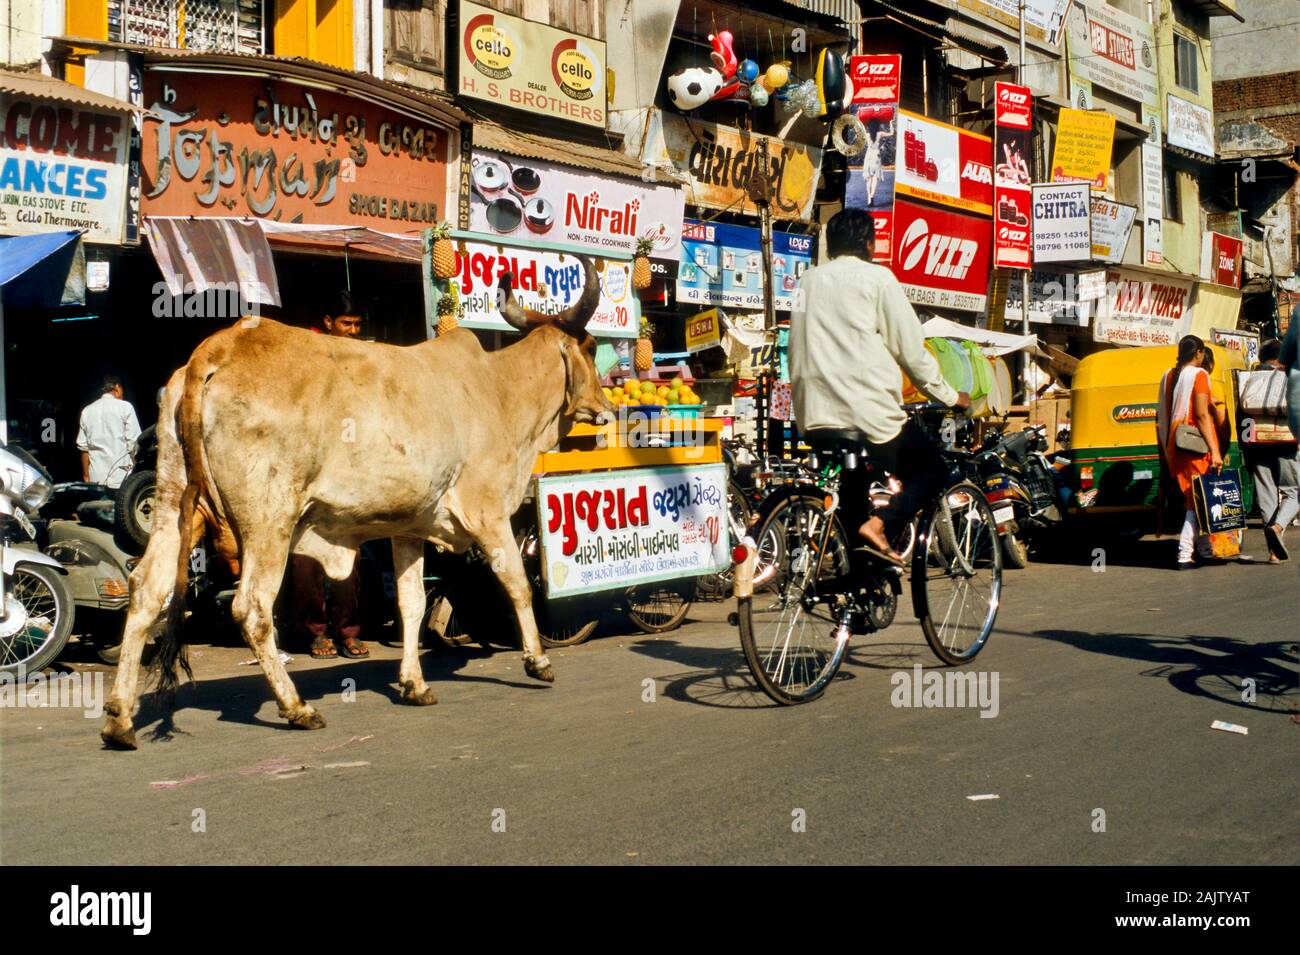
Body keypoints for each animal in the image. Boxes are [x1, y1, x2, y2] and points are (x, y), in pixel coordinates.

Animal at [98, 257, 616, 748]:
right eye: (592, 348)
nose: (608, 408)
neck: (499, 390)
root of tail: (214, 351)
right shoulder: (486, 512)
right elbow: (518, 585)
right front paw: (538, 661)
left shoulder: (408, 528)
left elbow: (411, 604)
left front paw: (414, 684)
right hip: (269, 519)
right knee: (251, 607)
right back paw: (296, 707)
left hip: (173, 507)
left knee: (145, 591)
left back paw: (119, 719)